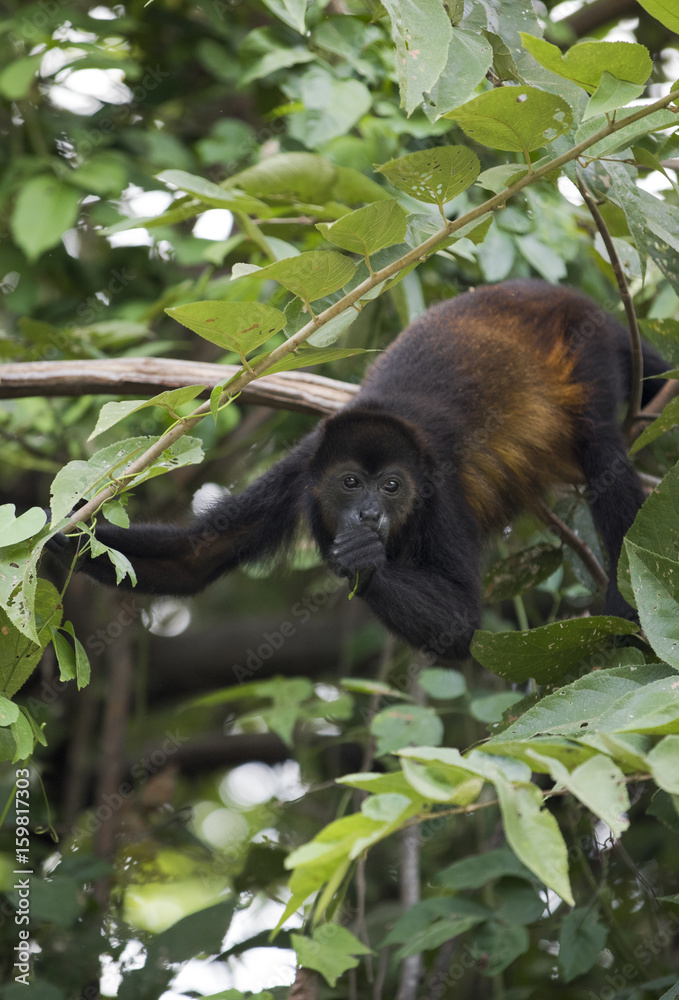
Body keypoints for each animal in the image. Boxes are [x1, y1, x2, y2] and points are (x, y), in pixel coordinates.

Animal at [47, 279, 667, 662]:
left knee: (606, 456)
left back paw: (626, 613)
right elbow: (196, 558)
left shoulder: (439, 490)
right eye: (350, 482)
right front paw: (61, 537)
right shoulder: (300, 470)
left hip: (587, 348)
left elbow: (462, 623)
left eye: (391, 487)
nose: (368, 514)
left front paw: (362, 560)